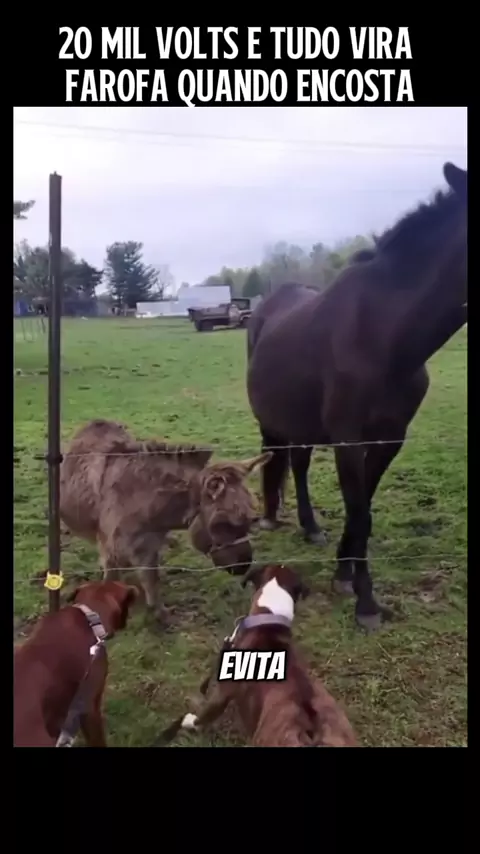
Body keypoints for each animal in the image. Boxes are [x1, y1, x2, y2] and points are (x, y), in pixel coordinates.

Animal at [246, 162, 467, 631]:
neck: (385, 333)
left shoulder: (390, 438)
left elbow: (361, 505)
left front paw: (344, 573)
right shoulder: (348, 437)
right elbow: (360, 511)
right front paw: (366, 603)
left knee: (298, 465)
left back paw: (311, 527)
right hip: (275, 420)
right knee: (284, 461)